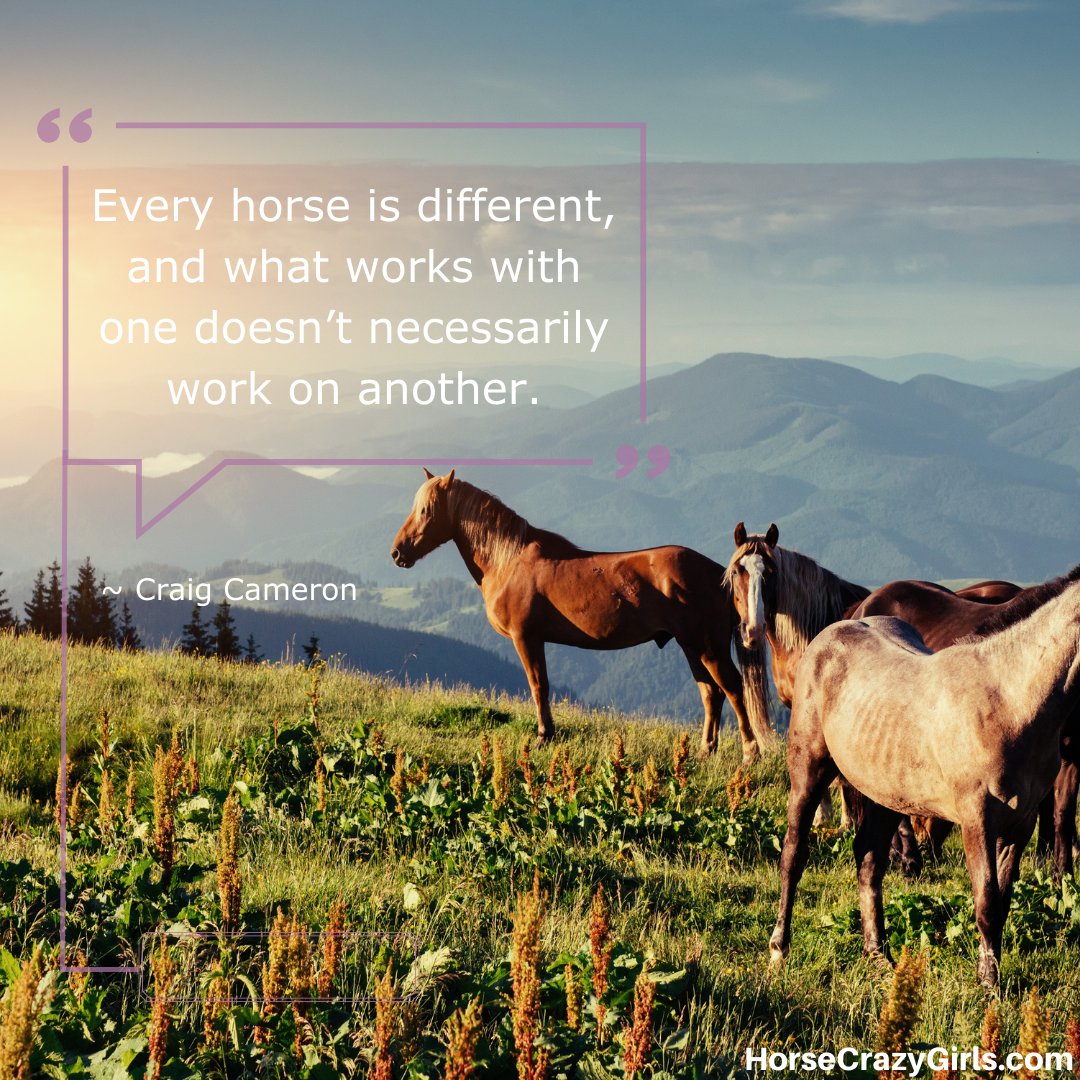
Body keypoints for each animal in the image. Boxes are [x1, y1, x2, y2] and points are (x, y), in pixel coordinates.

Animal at [390, 470, 777, 760]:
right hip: (691, 646)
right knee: (710, 692)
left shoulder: (526, 637)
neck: (509, 561)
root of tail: (722, 574)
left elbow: (538, 685)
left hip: (706, 645)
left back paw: (749, 752)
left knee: (732, 687)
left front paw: (544, 736)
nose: (397, 552)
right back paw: (704, 751)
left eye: (426, 510)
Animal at [764, 578, 1080, 984]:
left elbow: (1003, 902)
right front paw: (989, 986)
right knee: (793, 855)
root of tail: (834, 632)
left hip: (883, 793)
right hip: (809, 771)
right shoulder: (977, 821)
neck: (1010, 702)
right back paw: (780, 949)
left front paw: (990, 977)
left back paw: (877, 955)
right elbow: (987, 903)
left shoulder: (1019, 825)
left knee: (869, 860)